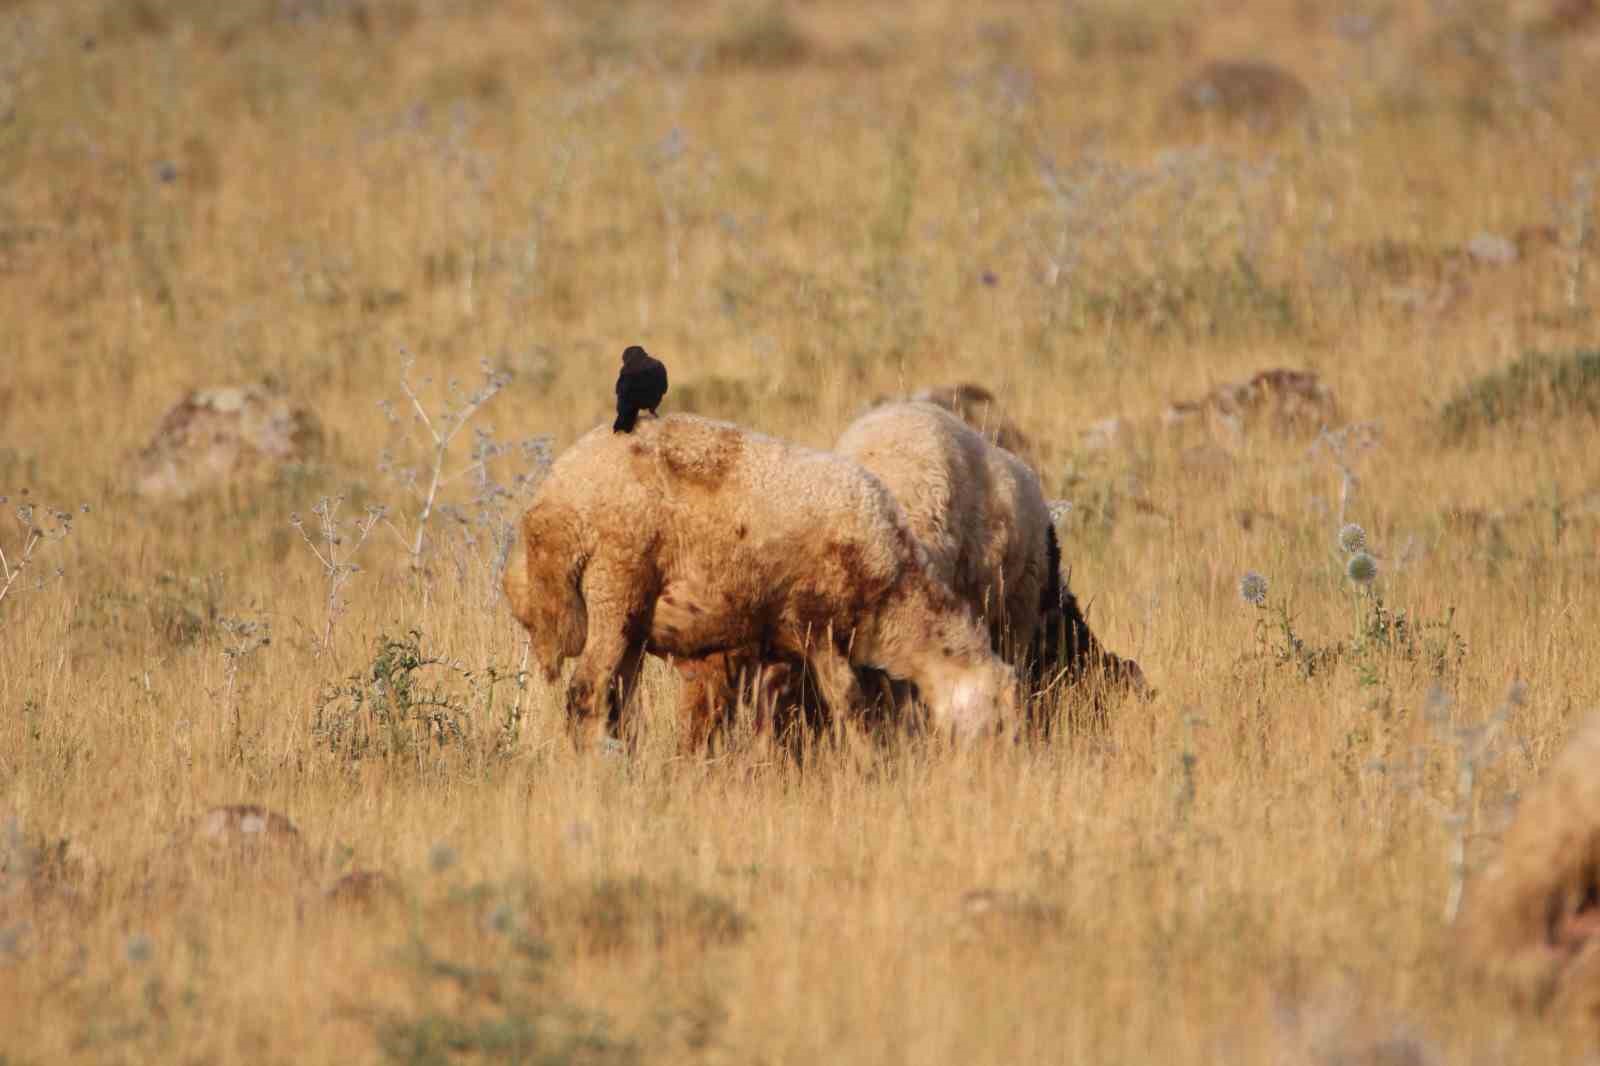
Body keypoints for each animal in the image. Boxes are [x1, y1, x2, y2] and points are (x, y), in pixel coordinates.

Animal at [505, 409, 1017, 742]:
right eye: (1001, 725)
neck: (897, 595)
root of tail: (552, 504)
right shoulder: (819, 626)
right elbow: (850, 707)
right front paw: (867, 764)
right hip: (615, 582)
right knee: (586, 694)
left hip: (629, 617)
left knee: (614, 702)